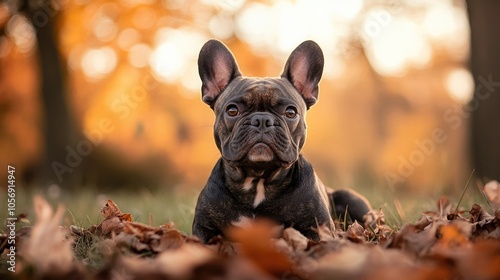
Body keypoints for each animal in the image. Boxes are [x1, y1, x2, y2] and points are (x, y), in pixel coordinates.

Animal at [191, 38, 372, 243]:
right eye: (232, 110)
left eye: (290, 112)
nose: (262, 120)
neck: (258, 181)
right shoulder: (203, 227)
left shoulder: (318, 227)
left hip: (352, 199)